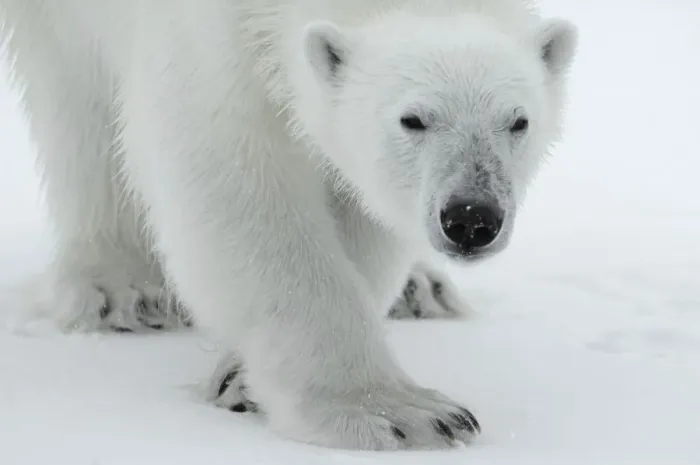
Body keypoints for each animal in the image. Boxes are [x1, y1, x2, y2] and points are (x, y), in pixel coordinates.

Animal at [0, 0, 578, 451]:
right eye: (411, 119)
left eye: (519, 121)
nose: (471, 218)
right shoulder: (205, 34)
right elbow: (228, 174)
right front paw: (397, 414)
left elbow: (357, 199)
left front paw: (240, 378)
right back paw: (123, 288)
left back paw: (420, 288)